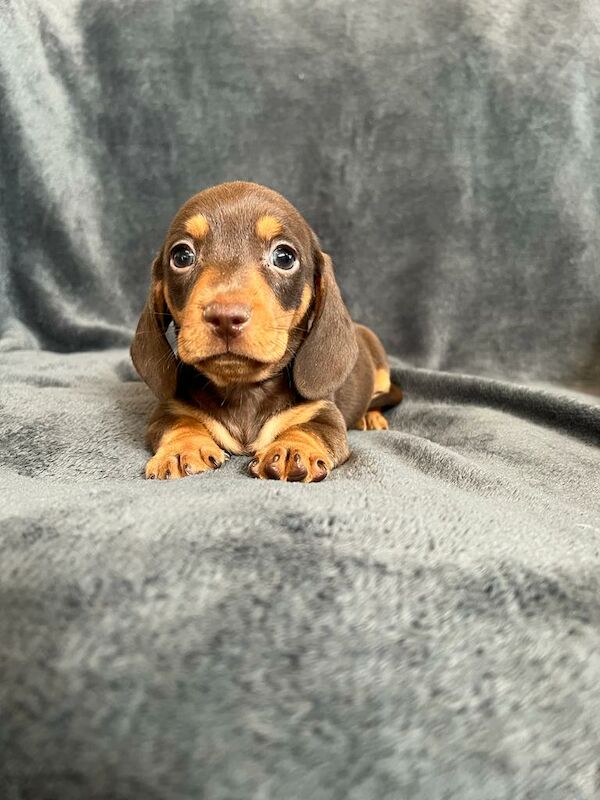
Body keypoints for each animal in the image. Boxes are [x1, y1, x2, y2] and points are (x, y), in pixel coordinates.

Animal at [131, 182, 404, 482]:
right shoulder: (169, 410)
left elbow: (307, 428)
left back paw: (370, 416)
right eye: (182, 256)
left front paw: (291, 449)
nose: (225, 317)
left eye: (284, 257)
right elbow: (180, 421)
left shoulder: (324, 414)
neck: (243, 388)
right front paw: (182, 449)